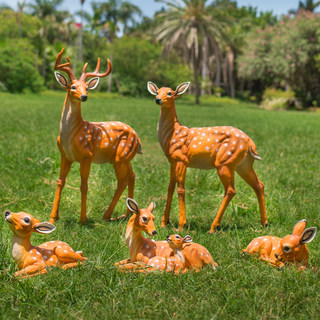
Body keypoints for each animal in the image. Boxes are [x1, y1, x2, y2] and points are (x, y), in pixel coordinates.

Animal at [49, 48, 141, 224]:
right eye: (72, 87)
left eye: (86, 87)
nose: (84, 96)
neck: (71, 135)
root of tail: (138, 138)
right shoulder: (65, 156)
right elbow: (60, 182)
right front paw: (53, 217)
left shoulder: (87, 155)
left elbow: (84, 185)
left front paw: (82, 219)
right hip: (125, 158)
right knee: (132, 176)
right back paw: (127, 214)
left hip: (120, 156)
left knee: (122, 181)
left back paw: (107, 216)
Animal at [149, 82, 268, 232]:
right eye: (157, 91)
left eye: (170, 93)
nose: (158, 99)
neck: (173, 133)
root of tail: (250, 142)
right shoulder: (172, 161)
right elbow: (170, 188)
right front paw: (164, 223)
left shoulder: (182, 158)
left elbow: (181, 189)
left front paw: (181, 225)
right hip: (243, 164)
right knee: (259, 185)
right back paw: (264, 223)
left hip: (224, 161)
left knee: (231, 190)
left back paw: (213, 226)